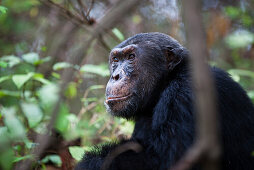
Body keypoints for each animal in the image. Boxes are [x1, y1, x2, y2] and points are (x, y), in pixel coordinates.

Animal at [75, 32, 254, 169]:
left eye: (131, 57)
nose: (115, 76)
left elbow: (165, 161)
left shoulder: (185, 95)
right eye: (116, 60)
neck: (166, 83)